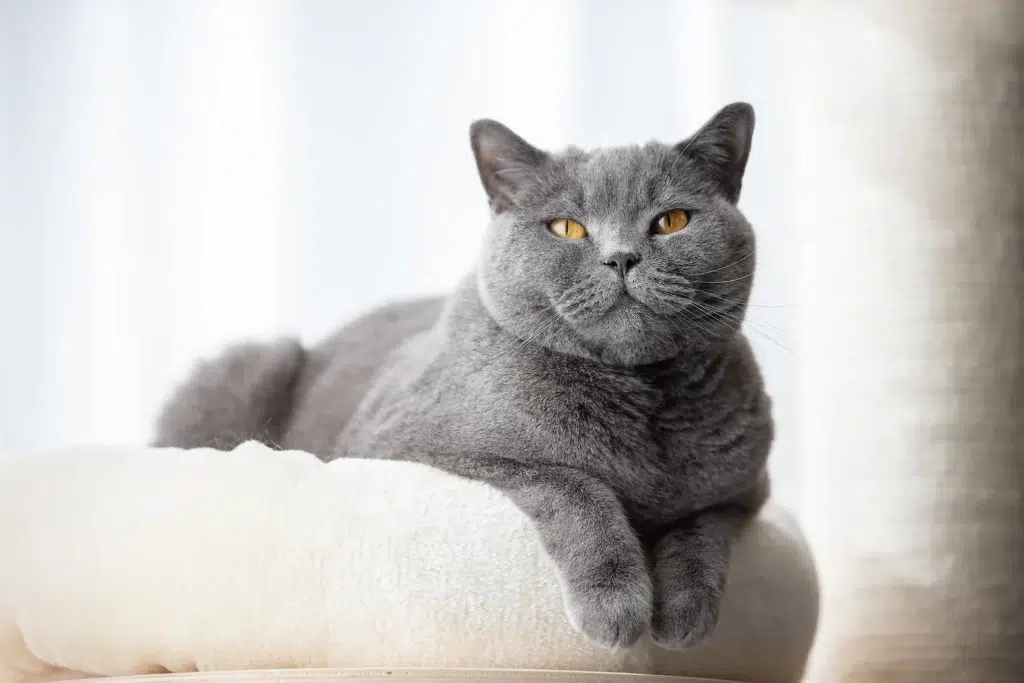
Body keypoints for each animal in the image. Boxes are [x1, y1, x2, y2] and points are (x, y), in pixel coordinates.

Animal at [155, 101, 770, 651]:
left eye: (672, 221)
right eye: (567, 228)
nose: (621, 258)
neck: (641, 395)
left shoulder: (745, 488)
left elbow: (701, 526)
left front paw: (685, 617)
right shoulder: (413, 446)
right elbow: (574, 484)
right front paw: (616, 610)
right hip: (254, 362)